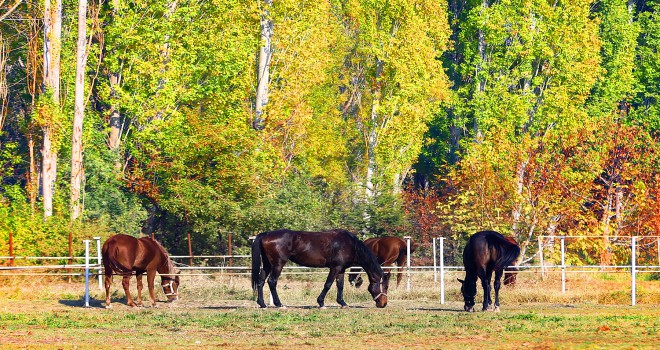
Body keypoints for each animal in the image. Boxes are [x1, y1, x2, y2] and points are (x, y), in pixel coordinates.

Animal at [250, 230, 390, 308]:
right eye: (386, 286)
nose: (383, 304)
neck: (351, 245)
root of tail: (266, 234)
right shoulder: (335, 267)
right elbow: (328, 284)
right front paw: (321, 303)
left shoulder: (341, 269)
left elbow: (340, 286)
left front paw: (342, 303)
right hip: (278, 264)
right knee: (272, 282)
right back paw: (279, 304)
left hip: (268, 264)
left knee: (261, 281)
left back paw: (262, 304)